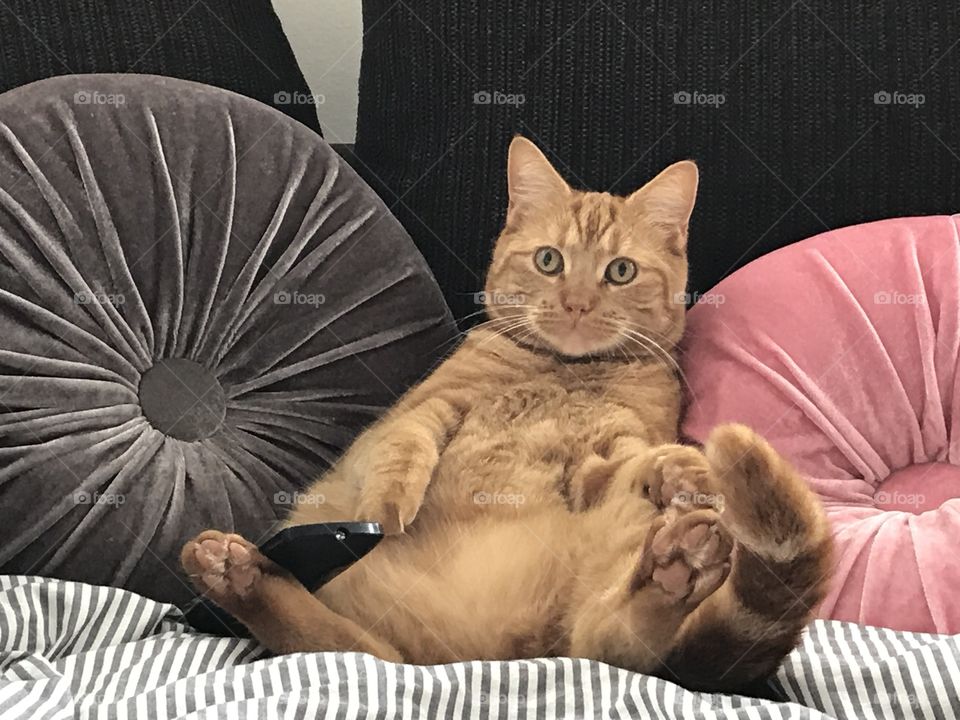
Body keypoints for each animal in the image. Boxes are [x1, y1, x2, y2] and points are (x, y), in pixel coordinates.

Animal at [180, 135, 832, 692]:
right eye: (549, 261)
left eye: (620, 271)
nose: (575, 303)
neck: (564, 372)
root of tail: (476, 655)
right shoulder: (421, 410)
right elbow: (404, 447)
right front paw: (388, 507)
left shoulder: (614, 448)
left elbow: (626, 463)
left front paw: (680, 470)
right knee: (338, 643)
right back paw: (233, 571)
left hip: (599, 588)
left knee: (611, 643)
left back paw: (677, 568)